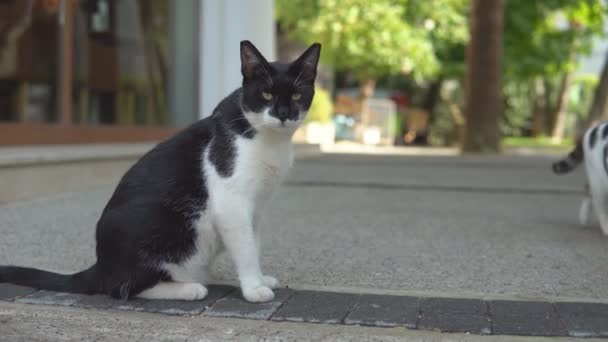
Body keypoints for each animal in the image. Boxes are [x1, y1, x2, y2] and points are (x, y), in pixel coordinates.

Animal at [0, 41, 324, 304]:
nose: (283, 114)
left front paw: (259, 278)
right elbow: (244, 246)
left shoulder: (255, 206)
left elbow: (253, 242)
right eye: (267, 94)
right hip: (155, 223)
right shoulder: (231, 201)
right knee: (120, 287)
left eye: (297, 96)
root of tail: (101, 264)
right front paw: (254, 289)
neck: (267, 139)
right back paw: (188, 288)